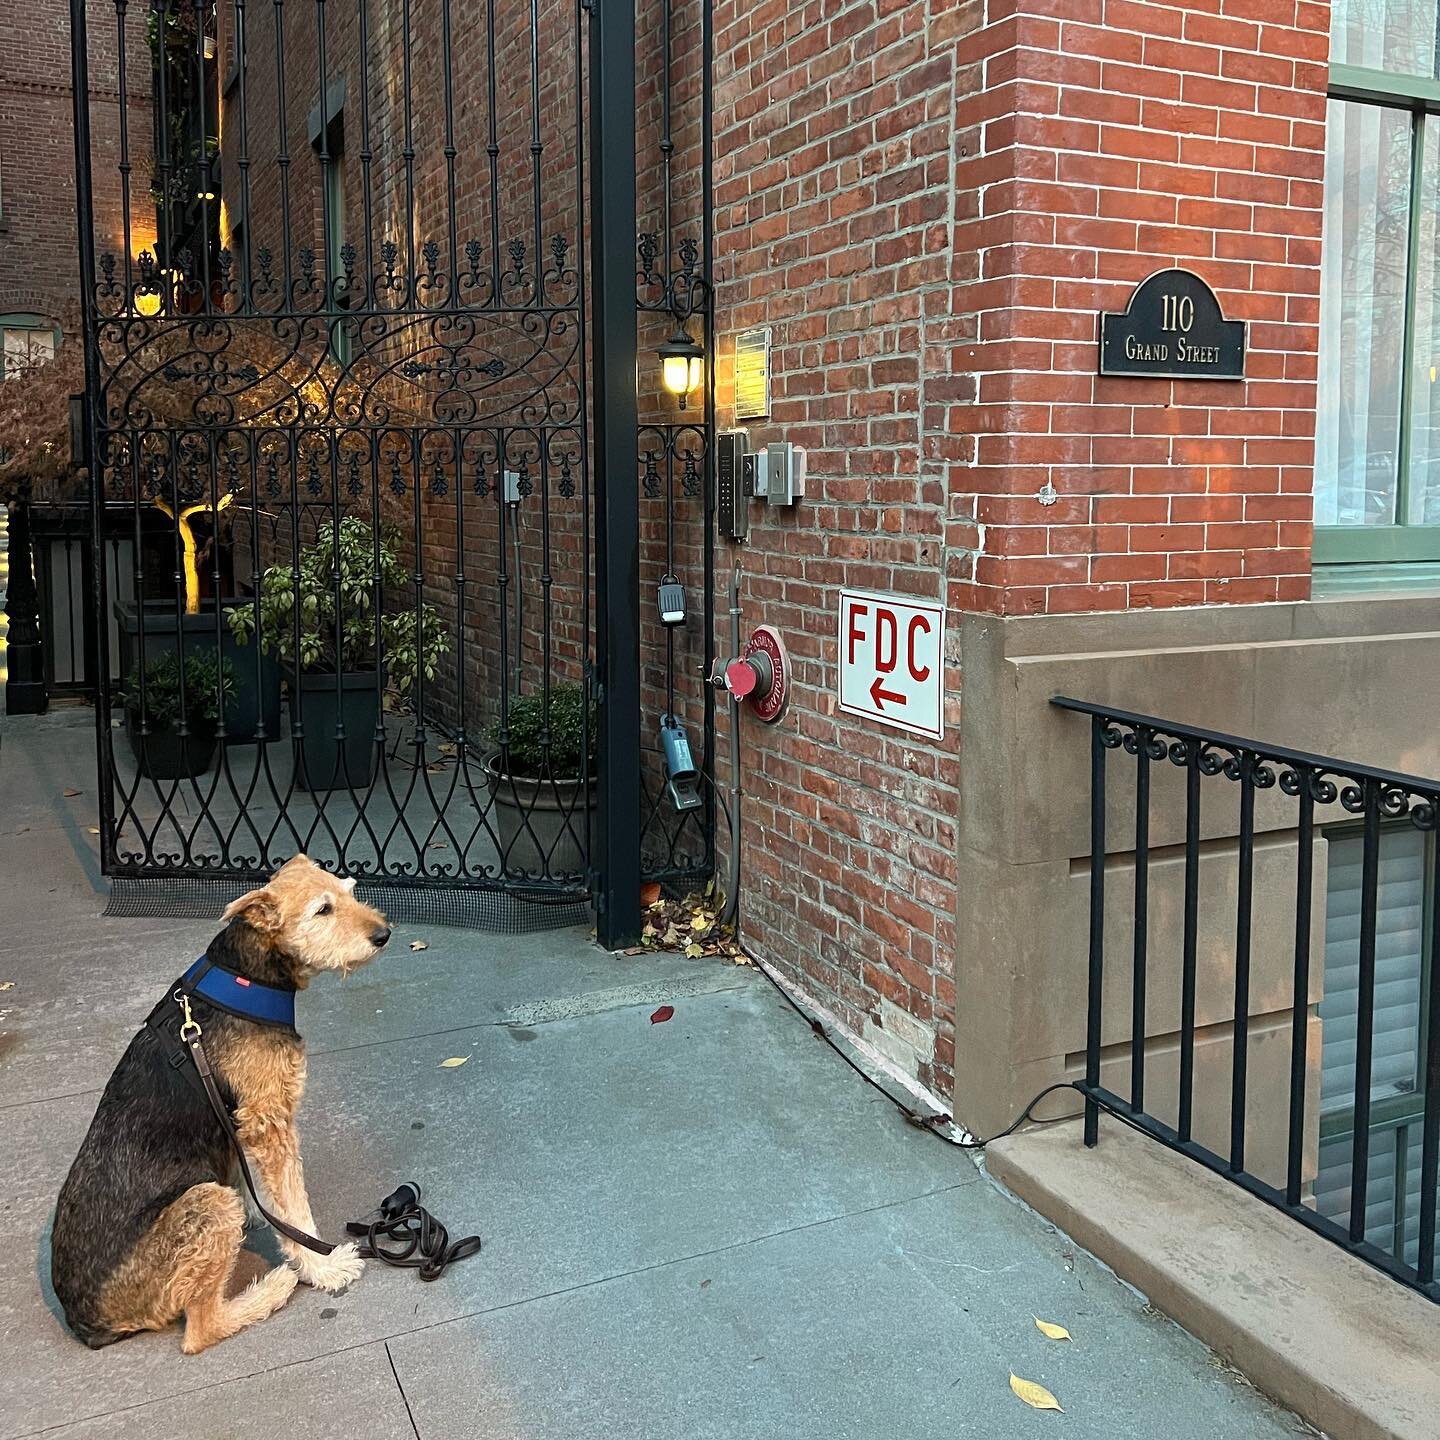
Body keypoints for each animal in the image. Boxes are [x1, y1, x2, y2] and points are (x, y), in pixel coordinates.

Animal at [50, 852, 391, 1347]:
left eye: (349, 892)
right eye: (322, 910)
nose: (383, 934)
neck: (247, 975)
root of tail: (85, 1321)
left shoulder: (240, 1121)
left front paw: (260, 1208)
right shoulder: (269, 1117)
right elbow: (295, 1210)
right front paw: (321, 1266)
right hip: (207, 1203)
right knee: (201, 1329)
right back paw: (272, 1288)